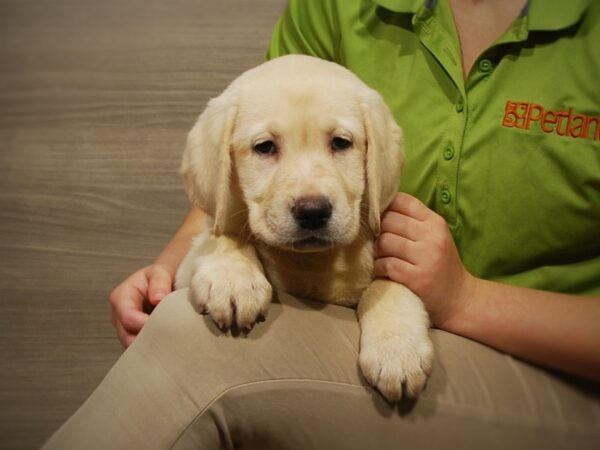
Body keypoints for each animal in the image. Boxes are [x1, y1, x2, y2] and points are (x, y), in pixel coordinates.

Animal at [176, 54, 434, 402]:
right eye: (264, 147)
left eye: (341, 143)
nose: (313, 213)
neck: (313, 262)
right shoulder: (194, 255)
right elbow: (220, 237)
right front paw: (233, 281)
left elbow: (389, 283)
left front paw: (397, 351)